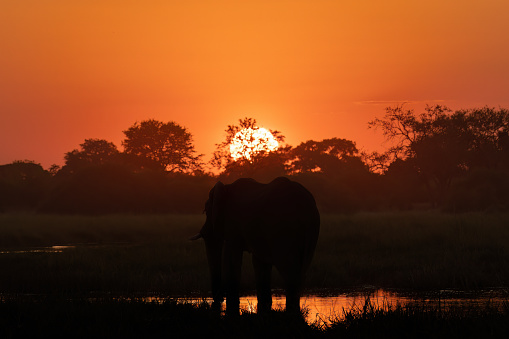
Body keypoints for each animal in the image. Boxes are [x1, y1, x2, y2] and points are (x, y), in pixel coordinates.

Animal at [190, 178, 318, 316]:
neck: (226, 188)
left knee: (290, 273)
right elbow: (259, 262)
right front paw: (264, 305)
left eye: (206, 212)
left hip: (283, 230)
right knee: (301, 271)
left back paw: (291, 312)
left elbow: (231, 257)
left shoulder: (233, 225)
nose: (218, 300)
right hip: (311, 233)